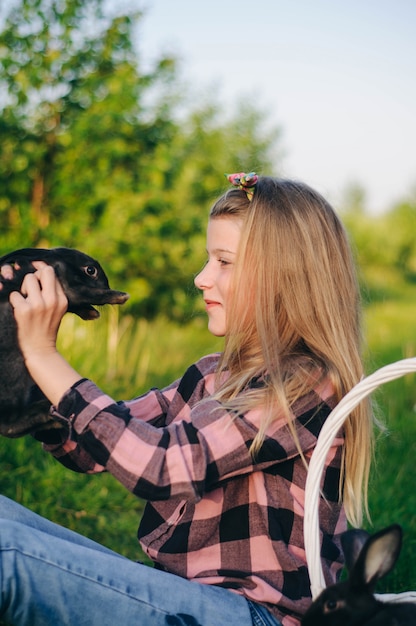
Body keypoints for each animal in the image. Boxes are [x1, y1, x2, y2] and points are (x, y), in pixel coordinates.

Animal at [0, 246, 128, 436]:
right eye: (91, 270)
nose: (108, 286)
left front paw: (92, 313)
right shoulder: (71, 288)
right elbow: (88, 293)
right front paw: (120, 296)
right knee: (9, 424)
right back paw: (48, 413)